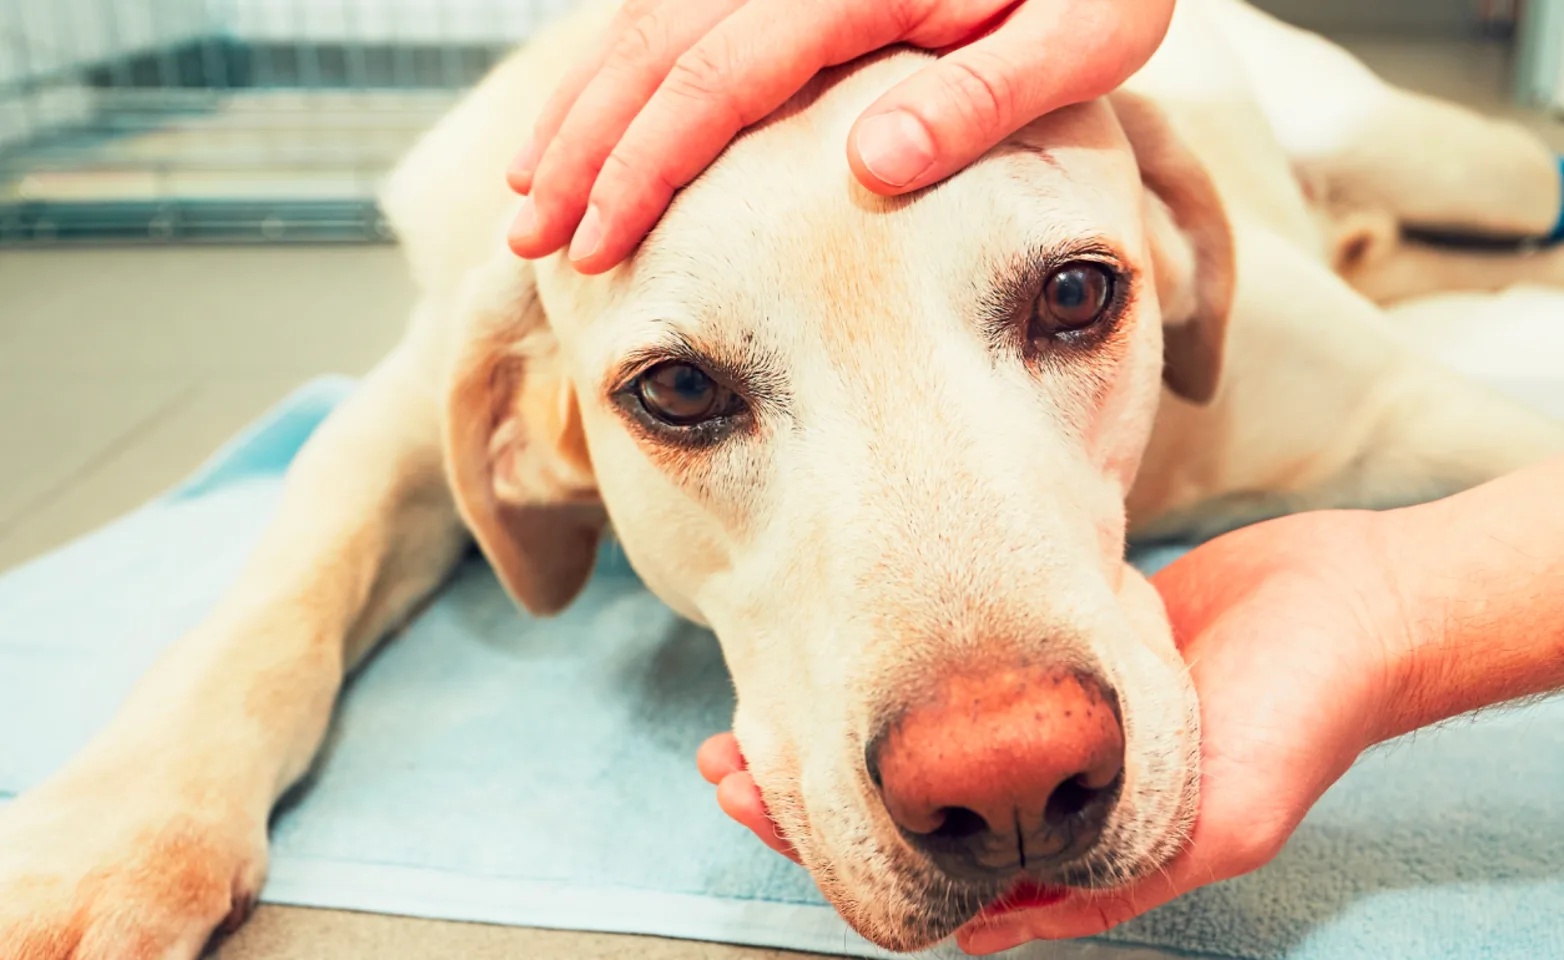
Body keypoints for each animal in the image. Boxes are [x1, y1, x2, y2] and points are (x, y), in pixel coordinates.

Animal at [3, 0, 1564, 956]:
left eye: (1075, 293)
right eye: (679, 391)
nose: (1010, 784)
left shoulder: (1424, 408)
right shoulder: (404, 400)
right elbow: (281, 587)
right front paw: (109, 839)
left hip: (1429, 149)